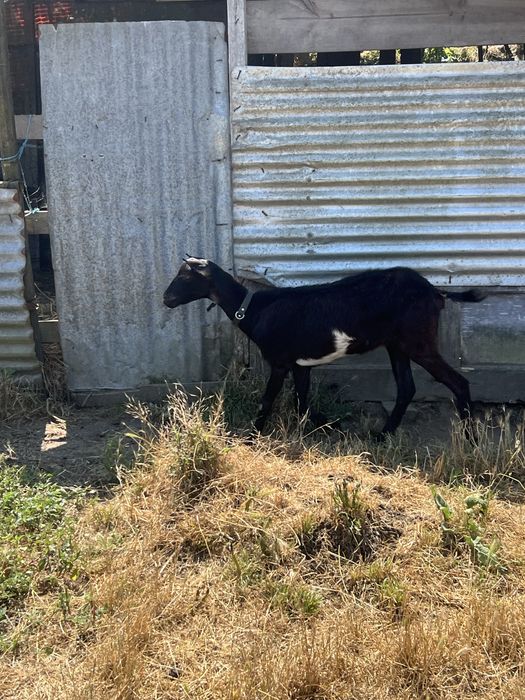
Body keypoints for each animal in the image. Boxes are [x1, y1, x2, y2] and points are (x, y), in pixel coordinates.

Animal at [163, 257, 485, 436]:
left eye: (185, 276)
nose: (166, 299)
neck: (253, 309)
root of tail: (435, 291)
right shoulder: (299, 364)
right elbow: (301, 399)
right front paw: (323, 424)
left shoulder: (280, 361)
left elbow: (268, 399)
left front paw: (252, 435)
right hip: (397, 345)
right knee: (407, 387)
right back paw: (382, 435)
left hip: (418, 341)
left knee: (458, 382)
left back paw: (470, 439)